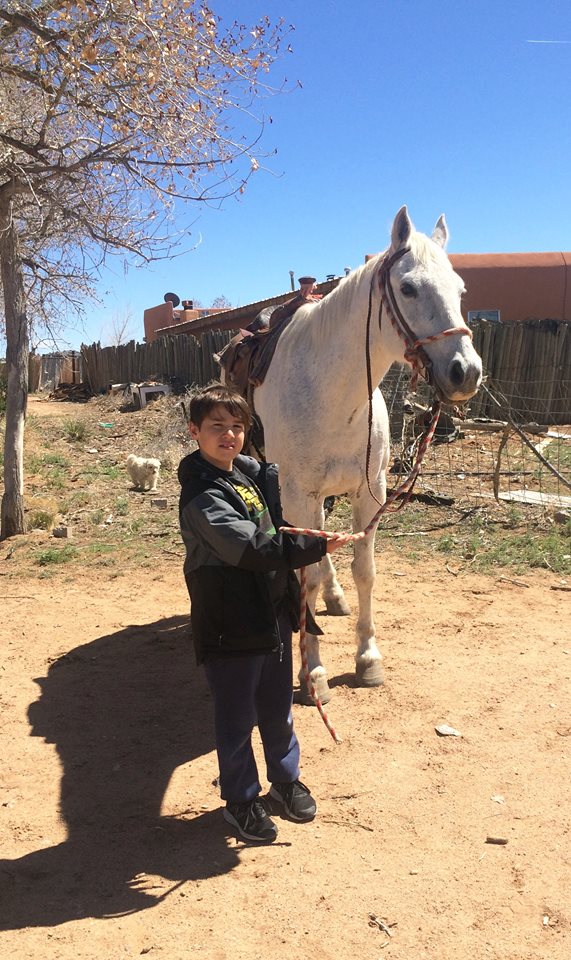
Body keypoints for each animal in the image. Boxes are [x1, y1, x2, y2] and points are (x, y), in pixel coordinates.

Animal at [253, 206, 483, 704]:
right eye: (408, 287)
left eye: (461, 290)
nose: (466, 372)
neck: (333, 394)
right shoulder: (300, 495)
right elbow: (307, 571)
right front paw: (314, 673)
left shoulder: (369, 493)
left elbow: (365, 572)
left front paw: (368, 658)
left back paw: (333, 597)